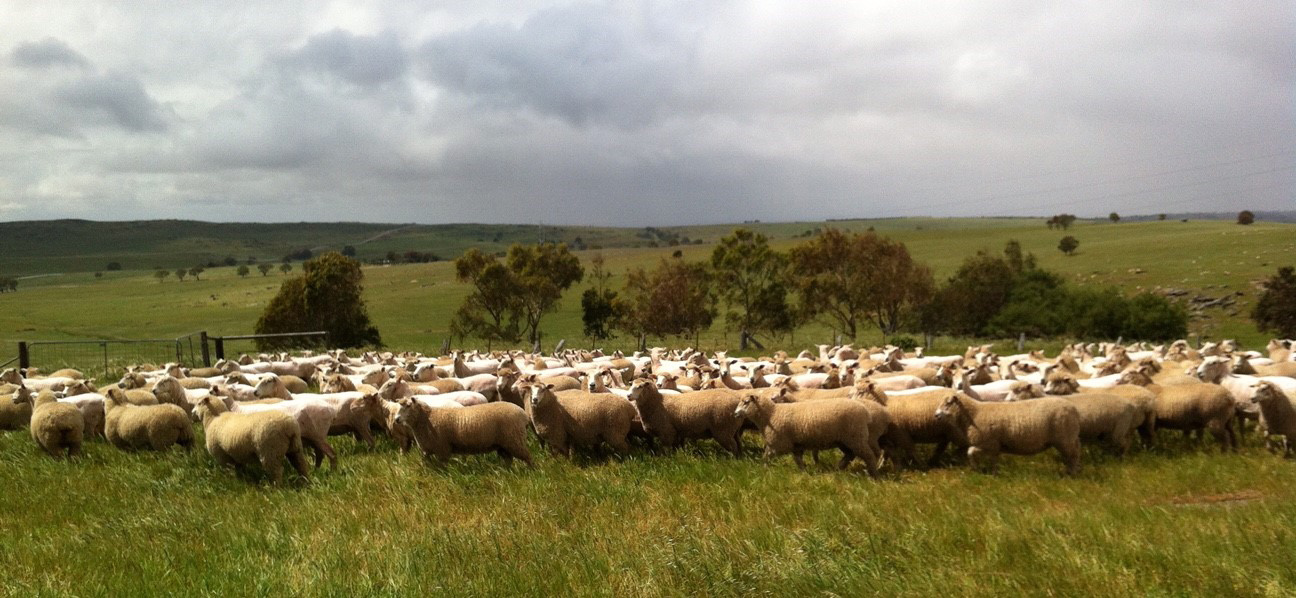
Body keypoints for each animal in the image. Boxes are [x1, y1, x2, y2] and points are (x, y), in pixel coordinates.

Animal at [393, 396, 536, 466]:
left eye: (408, 406)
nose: (396, 419)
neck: (427, 418)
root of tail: (523, 415)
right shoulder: (426, 450)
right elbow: (425, 465)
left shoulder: (442, 449)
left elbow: (443, 467)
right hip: (504, 444)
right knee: (508, 459)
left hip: (514, 440)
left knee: (528, 457)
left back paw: (532, 471)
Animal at [730, 391, 881, 474]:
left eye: (746, 402)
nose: (735, 414)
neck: (771, 415)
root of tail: (865, 411)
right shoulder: (796, 446)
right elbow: (798, 461)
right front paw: (804, 473)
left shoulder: (778, 444)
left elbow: (765, 457)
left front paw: (765, 470)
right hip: (844, 440)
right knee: (850, 454)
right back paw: (839, 468)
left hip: (855, 437)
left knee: (869, 455)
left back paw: (872, 474)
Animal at [933, 394, 1083, 472]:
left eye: (947, 404)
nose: (936, 415)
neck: (974, 414)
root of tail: (1074, 409)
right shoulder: (994, 446)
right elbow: (993, 460)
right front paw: (993, 473)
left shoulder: (988, 443)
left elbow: (969, 452)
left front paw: (976, 468)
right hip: (1067, 438)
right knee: (1071, 455)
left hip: (1065, 438)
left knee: (1074, 456)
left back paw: (1071, 474)